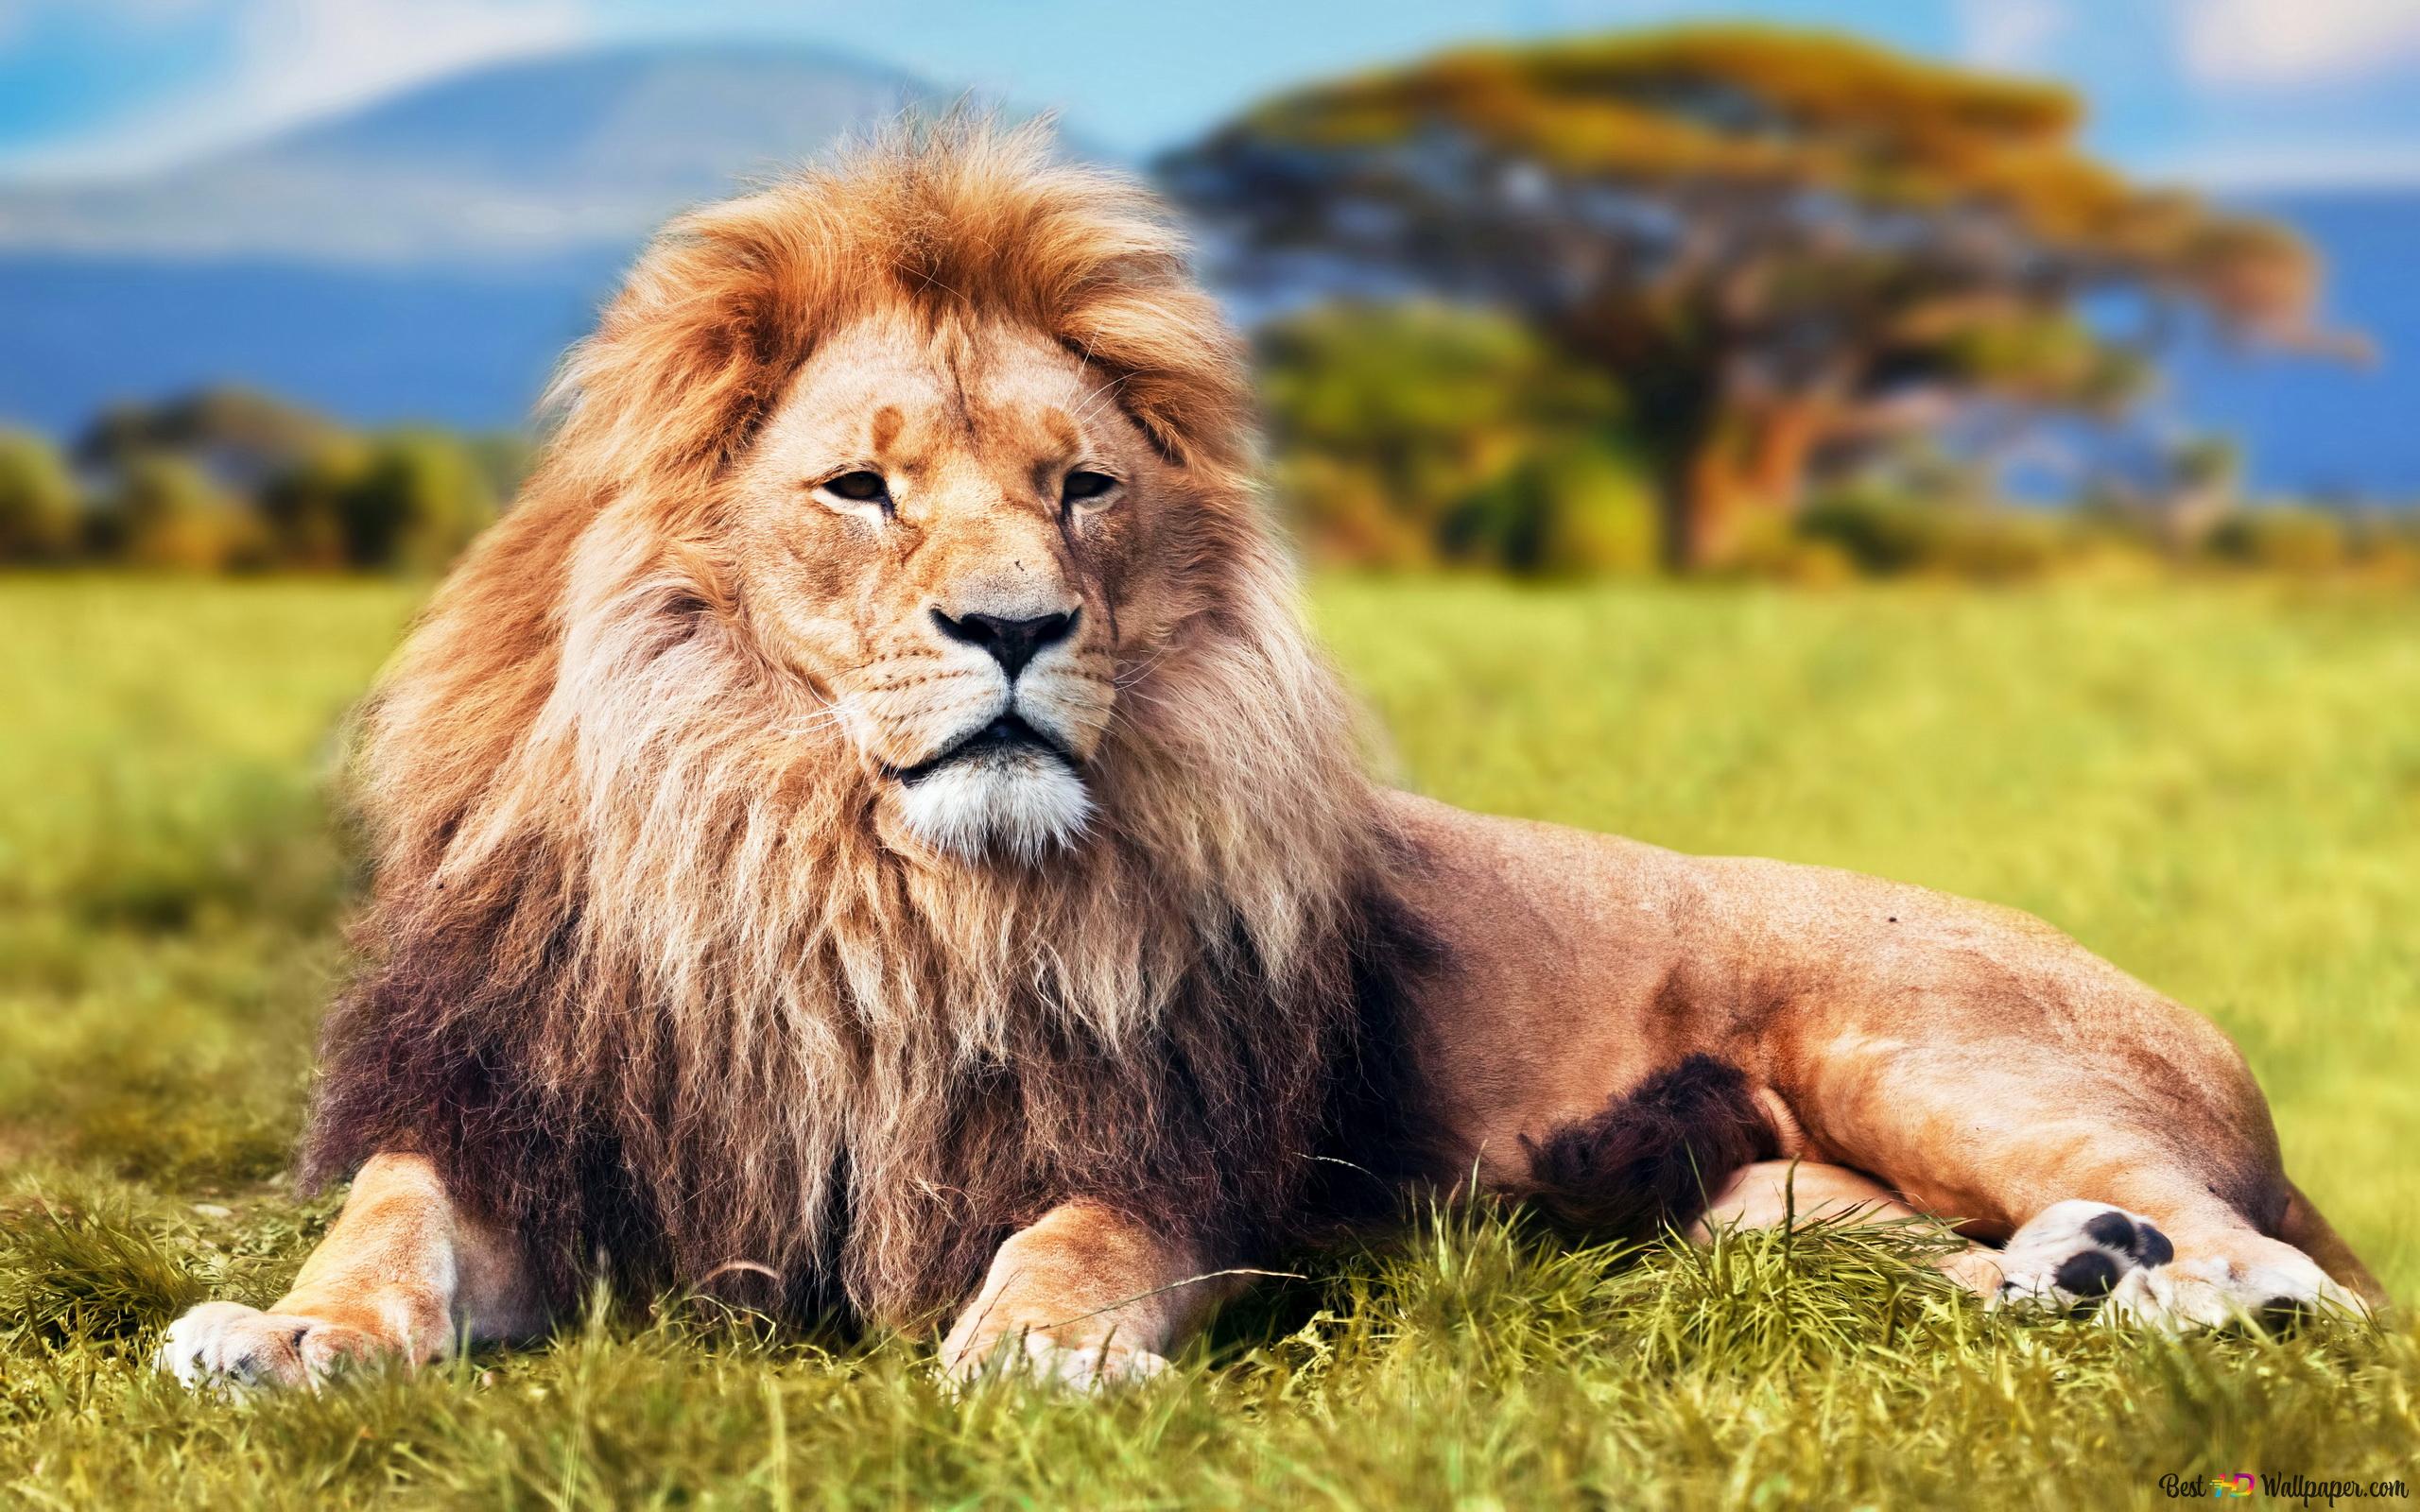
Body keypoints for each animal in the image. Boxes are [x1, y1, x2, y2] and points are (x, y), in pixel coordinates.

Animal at [159, 122, 2383, 1393]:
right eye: (862, 490)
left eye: (1078, 489)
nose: (1016, 631)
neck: (848, 883)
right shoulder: (522, 1111)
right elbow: (389, 1235)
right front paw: (283, 1334)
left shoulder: (1168, 1146)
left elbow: (1076, 1240)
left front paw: (1034, 1350)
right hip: (1756, 1199)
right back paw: (2068, 1280)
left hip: (1916, 1044)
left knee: (2300, 1275)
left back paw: (2181, 1293)